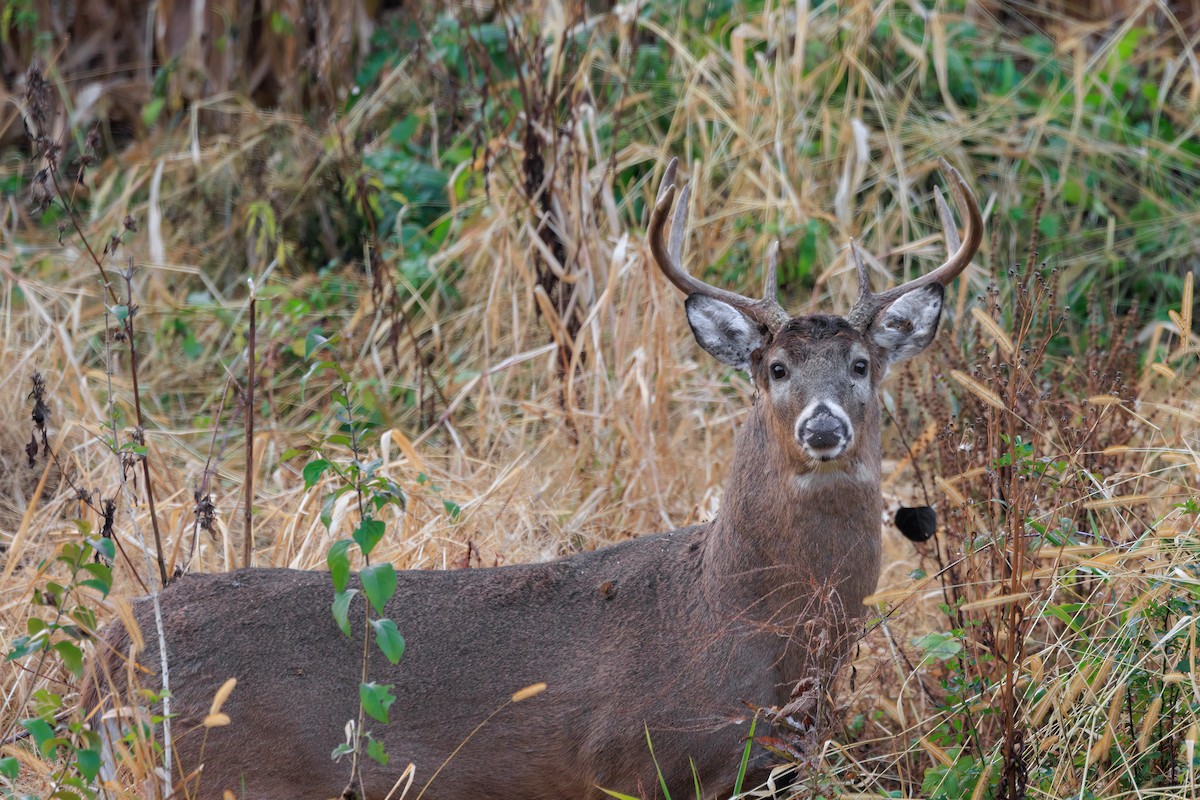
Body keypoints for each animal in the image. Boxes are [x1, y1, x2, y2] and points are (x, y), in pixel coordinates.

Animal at [82, 156, 982, 800]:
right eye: (776, 368)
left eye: (862, 364)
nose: (823, 427)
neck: (735, 617)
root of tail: (109, 654)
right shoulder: (627, 762)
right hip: (223, 772)